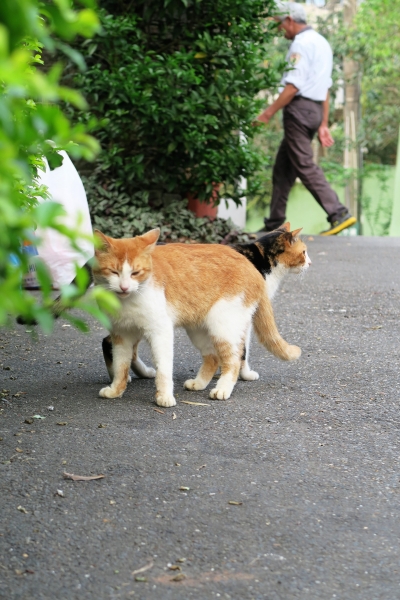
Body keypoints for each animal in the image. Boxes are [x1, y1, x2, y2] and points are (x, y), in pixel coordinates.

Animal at [93, 229, 300, 408]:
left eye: (135, 273)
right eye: (113, 272)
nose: (124, 287)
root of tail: (250, 266)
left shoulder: (161, 332)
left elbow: (163, 369)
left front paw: (164, 396)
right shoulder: (122, 335)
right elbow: (121, 365)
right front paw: (116, 390)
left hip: (224, 326)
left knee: (232, 360)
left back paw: (222, 389)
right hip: (199, 330)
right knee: (213, 357)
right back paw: (199, 383)